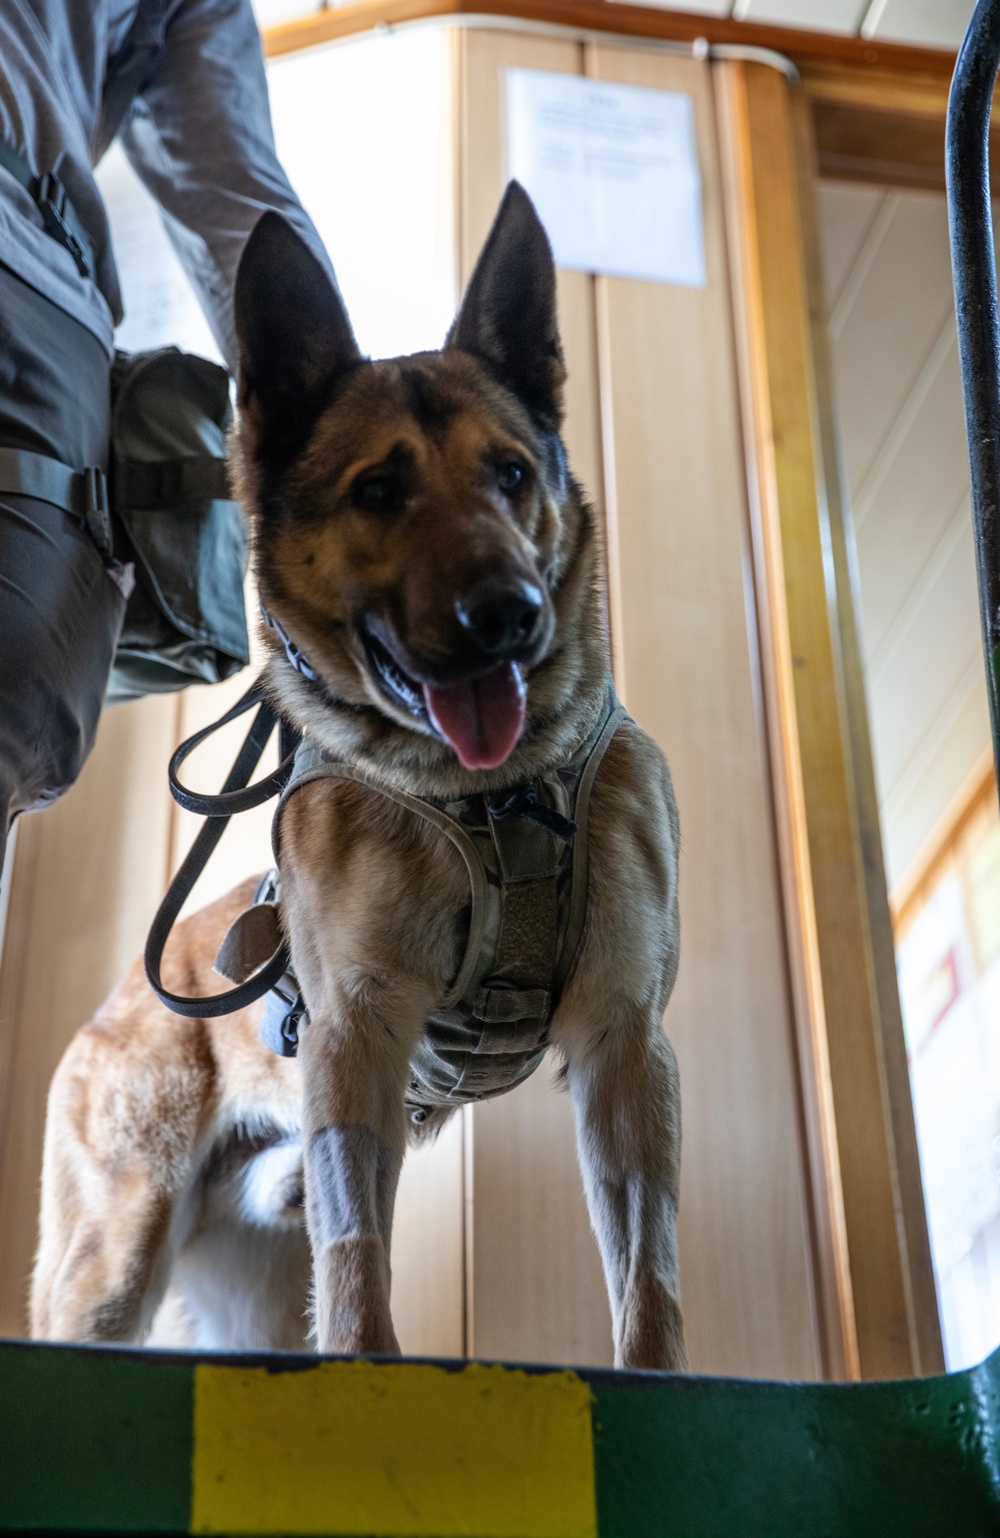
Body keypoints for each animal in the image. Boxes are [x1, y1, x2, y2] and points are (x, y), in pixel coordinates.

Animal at [33, 183, 686, 1371]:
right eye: (378, 491)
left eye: (510, 474)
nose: (509, 615)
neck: (495, 795)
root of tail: (109, 1010)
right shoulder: (358, 1041)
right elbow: (357, 1265)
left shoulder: (625, 1050)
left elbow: (646, 1275)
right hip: (111, 1262)